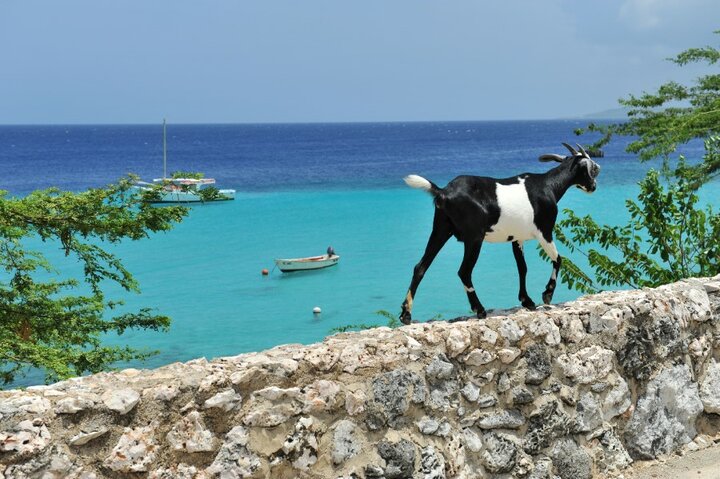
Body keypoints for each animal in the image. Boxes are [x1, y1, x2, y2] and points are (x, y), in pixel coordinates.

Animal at [402, 141, 600, 324]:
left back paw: (406, 313)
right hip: (474, 237)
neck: (549, 186)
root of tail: (443, 192)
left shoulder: (517, 238)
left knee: (420, 267)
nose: (593, 187)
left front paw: (527, 301)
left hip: (441, 229)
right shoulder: (544, 231)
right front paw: (547, 293)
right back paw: (479, 309)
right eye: (591, 168)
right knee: (464, 271)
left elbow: (523, 268)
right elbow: (558, 259)